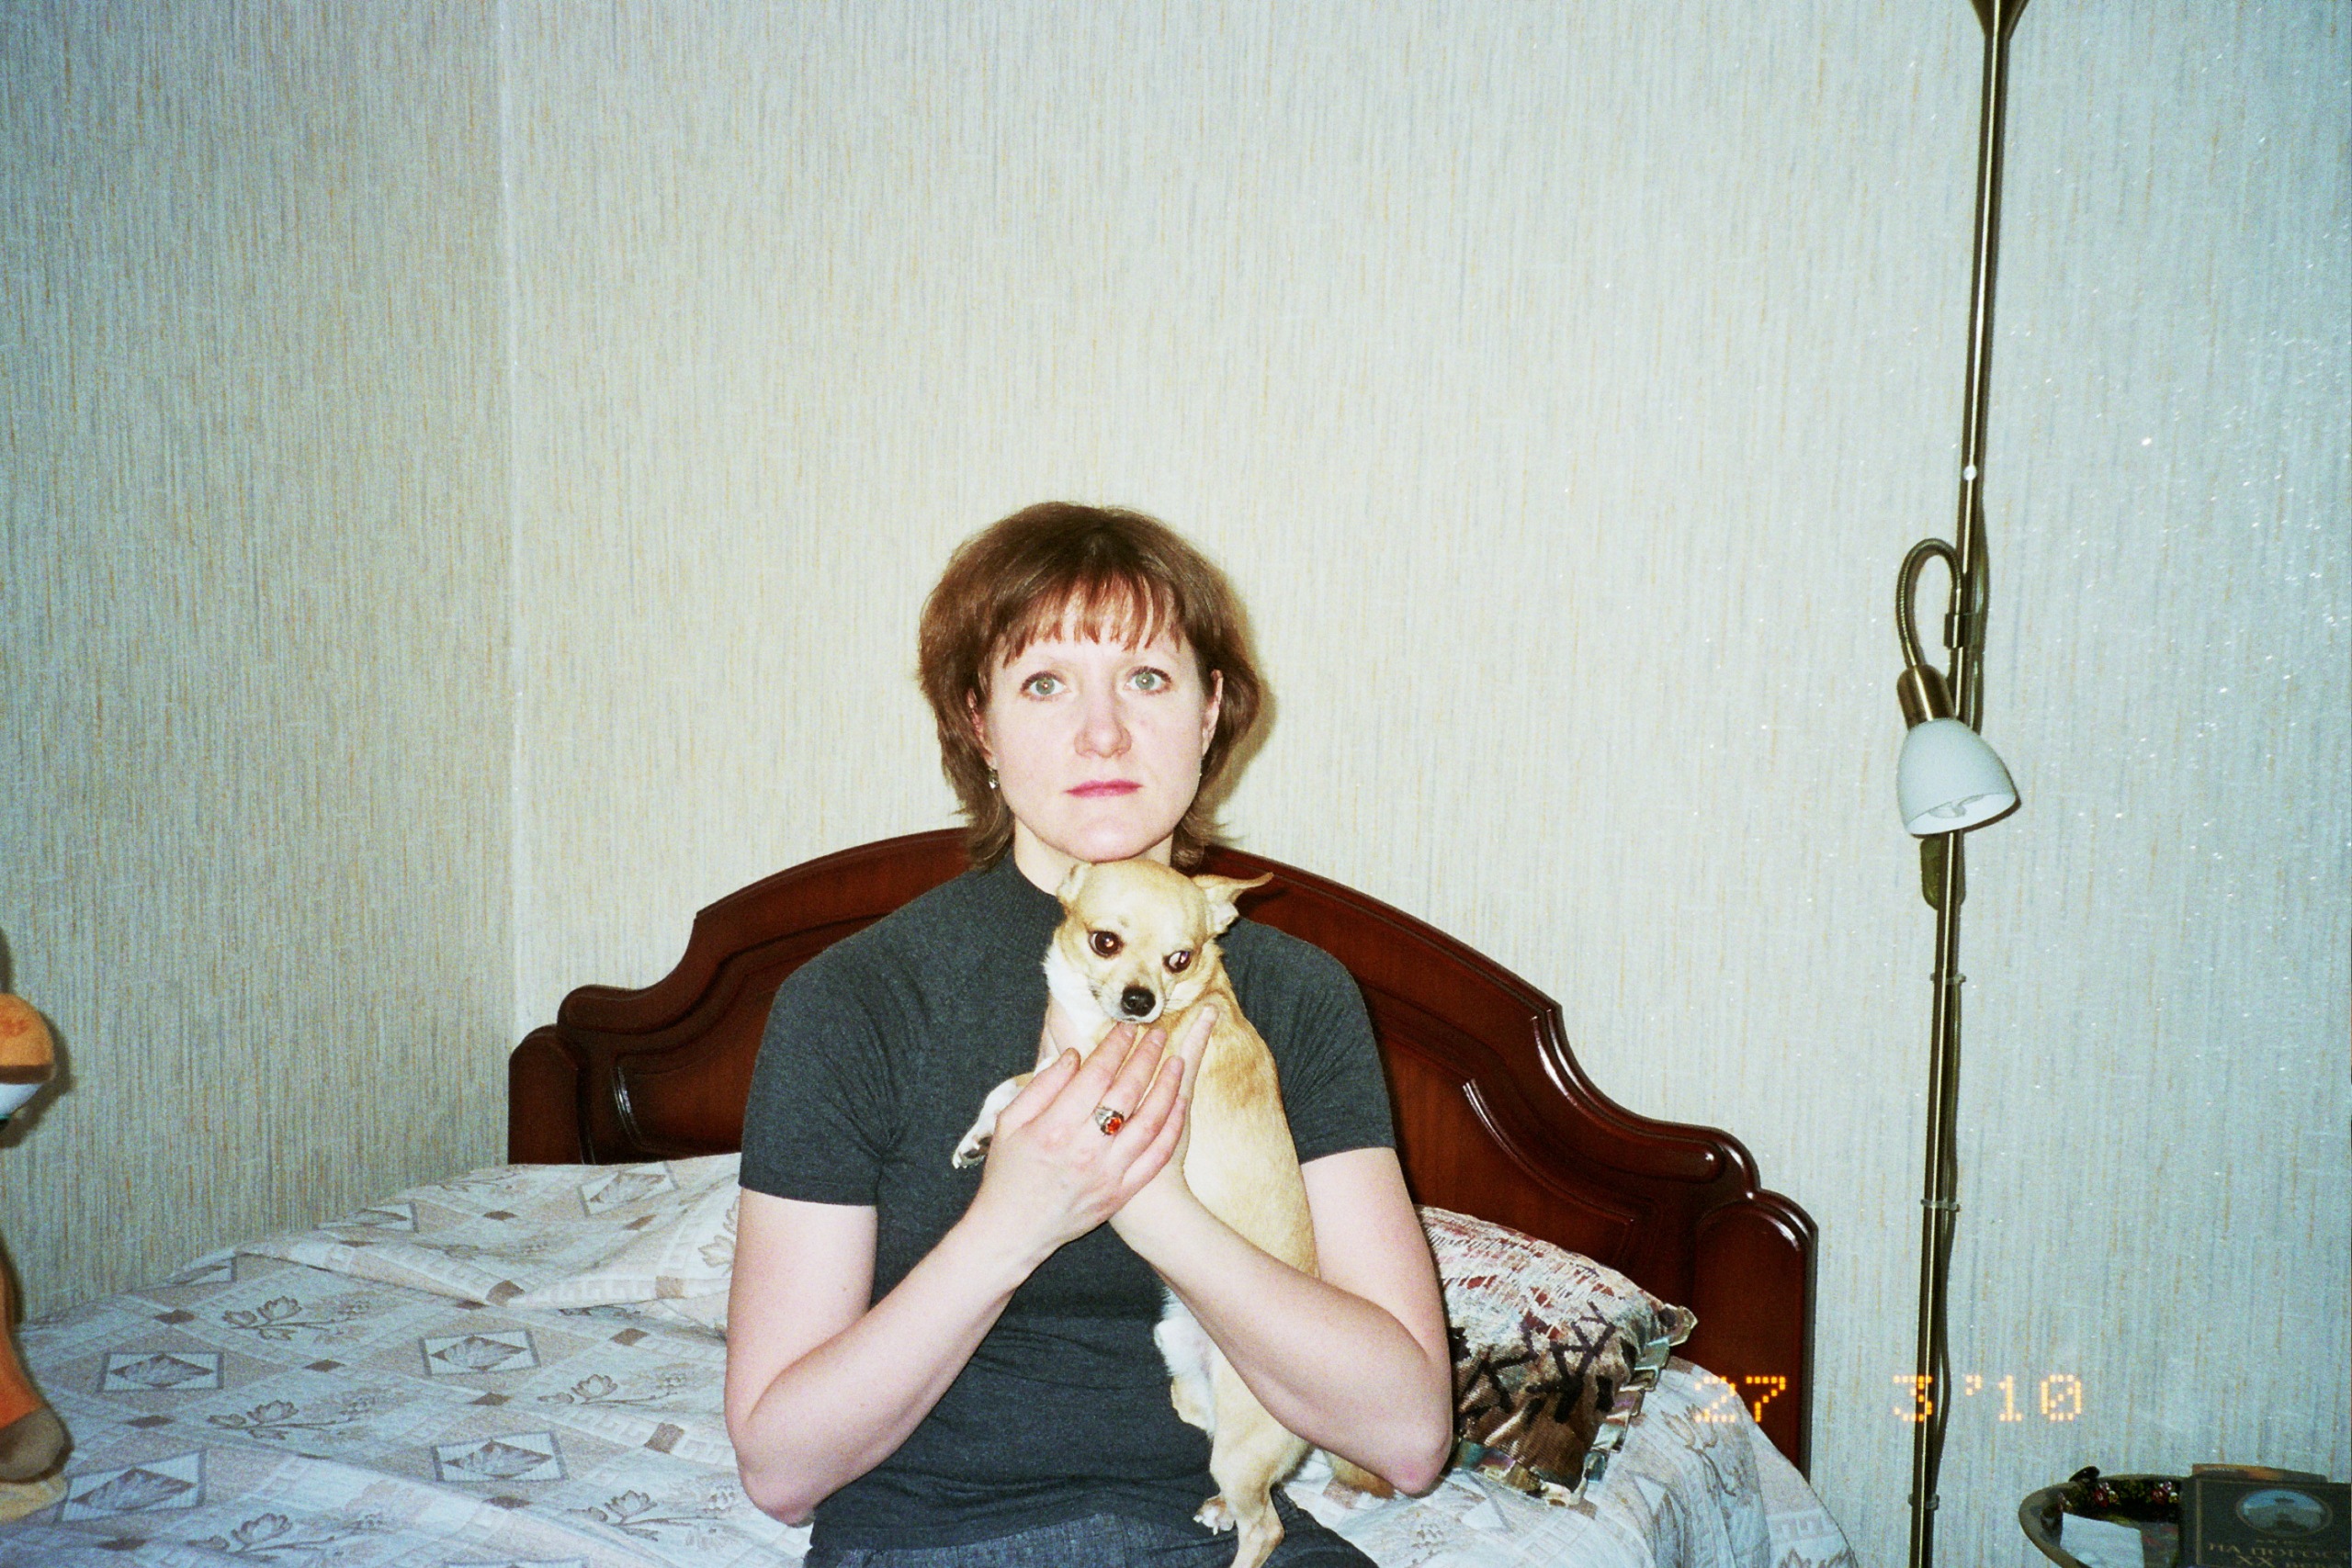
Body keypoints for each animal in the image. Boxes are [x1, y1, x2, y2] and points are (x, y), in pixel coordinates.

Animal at [952, 857, 1377, 1568]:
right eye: (1105, 942)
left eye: (1180, 959)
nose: (1140, 1002)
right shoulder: (1062, 1066)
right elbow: (1008, 1090)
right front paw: (980, 1137)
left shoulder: (1094, 1076)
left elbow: (1020, 1085)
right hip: (1178, 1356)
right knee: (1219, 1448)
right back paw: (1217, 1507)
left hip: (1242, 1445)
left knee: (1267, 1526)